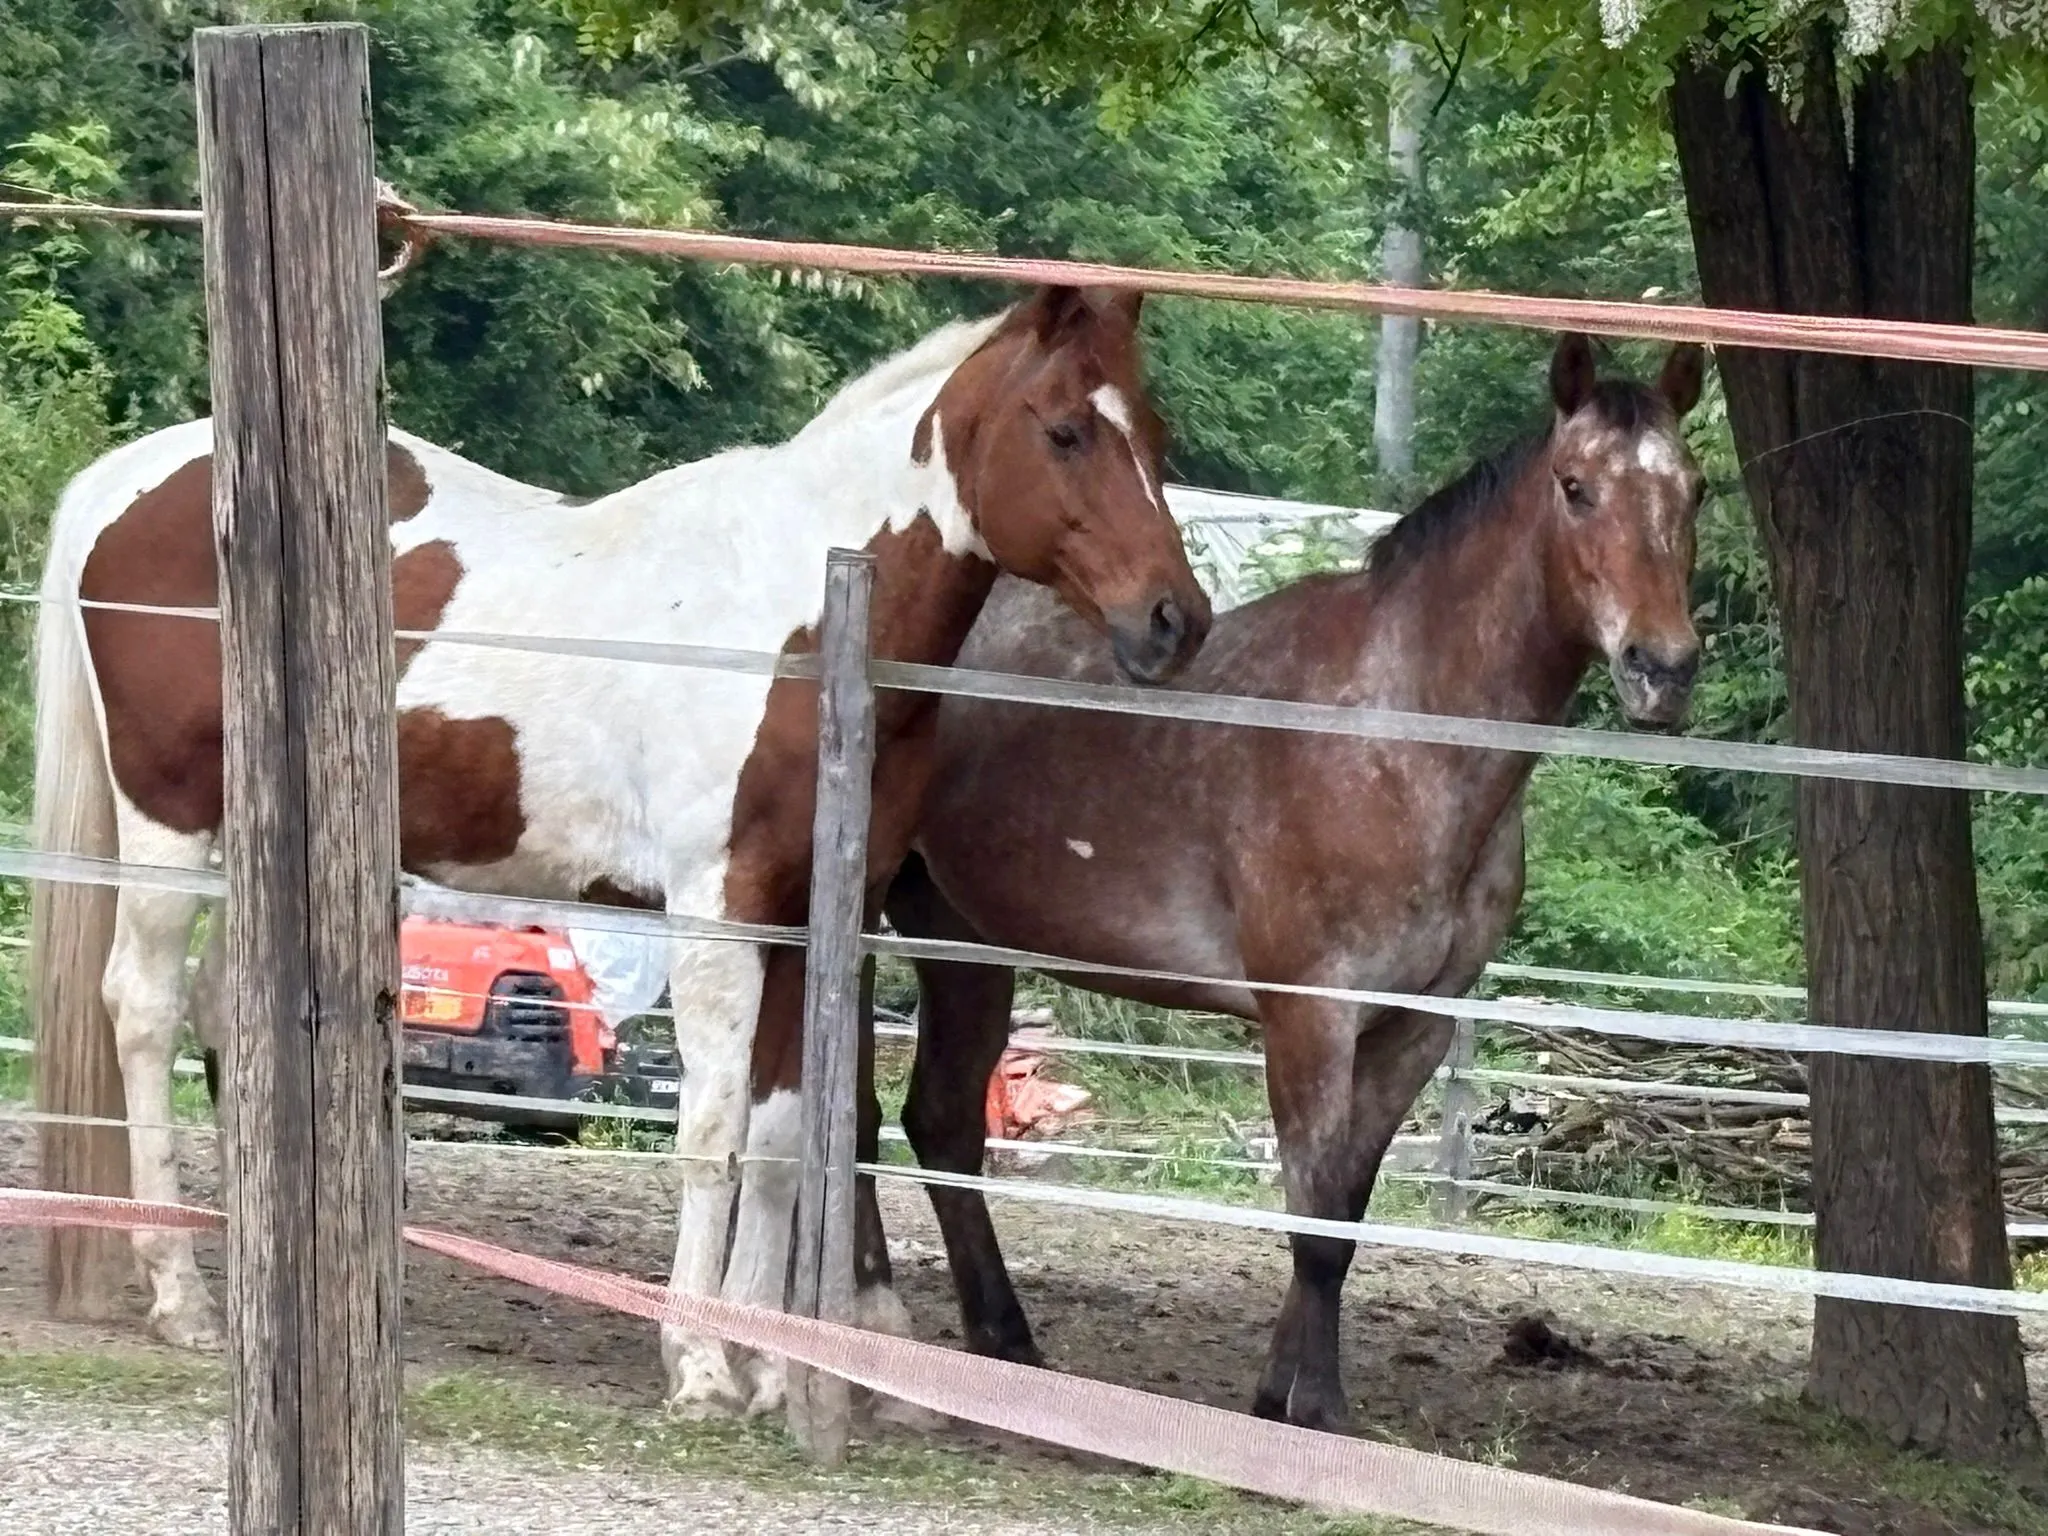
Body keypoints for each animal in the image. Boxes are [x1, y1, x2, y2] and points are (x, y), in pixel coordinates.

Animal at [30, 284, 1211, 1417]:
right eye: (1064, 430)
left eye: (1153, 432)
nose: (1175, 621)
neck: (799, 611)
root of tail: (128, 484)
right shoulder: (715, 911)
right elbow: (710, 1126)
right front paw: (698, 1365)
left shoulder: (802, 921)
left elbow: (780, 1138)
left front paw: (769, 1369)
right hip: (169, 822)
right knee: (143, 1008)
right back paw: (182, 1292)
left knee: (227, 1015)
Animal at [854, 333, 1706, 1432]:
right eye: (1575, 487)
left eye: (1692, 488)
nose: (1662, 668)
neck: (1395, 732)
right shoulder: (1310, 1015)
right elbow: (1309, 1211)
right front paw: (1314, 1415)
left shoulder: (1412, 1027)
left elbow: (1342, 1216)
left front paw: (1283, 1397)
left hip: (960, 936)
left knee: (942, 1123)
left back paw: (1003, 1340)